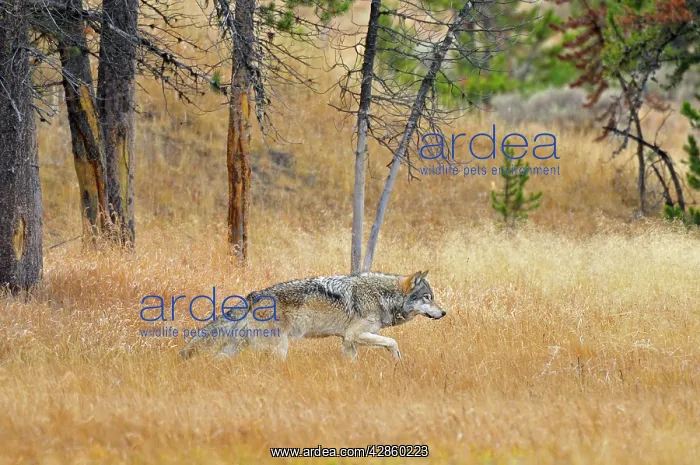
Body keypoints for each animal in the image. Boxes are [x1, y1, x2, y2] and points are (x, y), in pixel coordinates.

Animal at [179, 270, 445, 361]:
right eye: (428, 297)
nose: (444, 312)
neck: (382, 296)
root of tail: (253, 296)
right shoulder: (355, 335)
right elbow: (393, 342)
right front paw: (398, 361)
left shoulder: (348, 342)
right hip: (278, 348)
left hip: (238, 346)